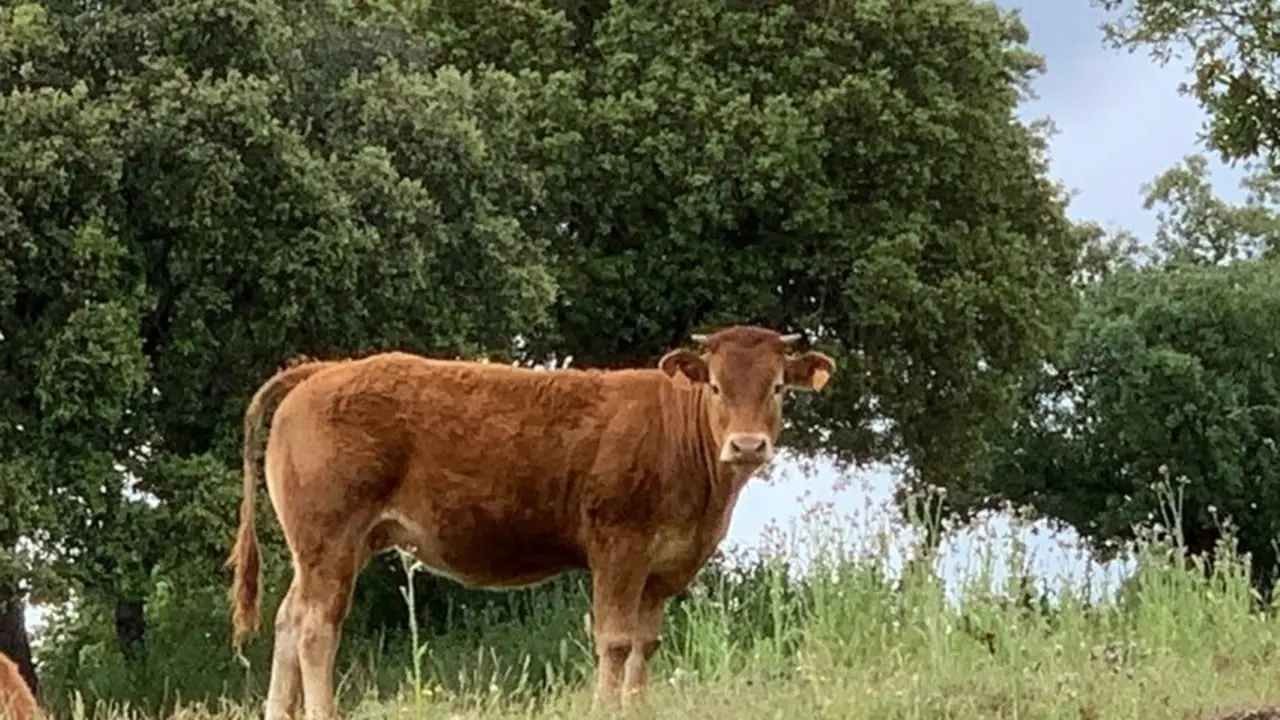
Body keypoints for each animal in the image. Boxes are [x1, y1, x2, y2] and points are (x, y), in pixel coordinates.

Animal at [226, 325, 836, 719]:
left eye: (777, 388)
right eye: (715, 386)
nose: (748, 445)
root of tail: (326, 369)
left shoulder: (661, 568)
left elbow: (645, 644)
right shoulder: (619, 547)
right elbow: (615, 640)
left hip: (327, 550)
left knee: (289, 619)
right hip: (330, 538)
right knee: (316, 627)